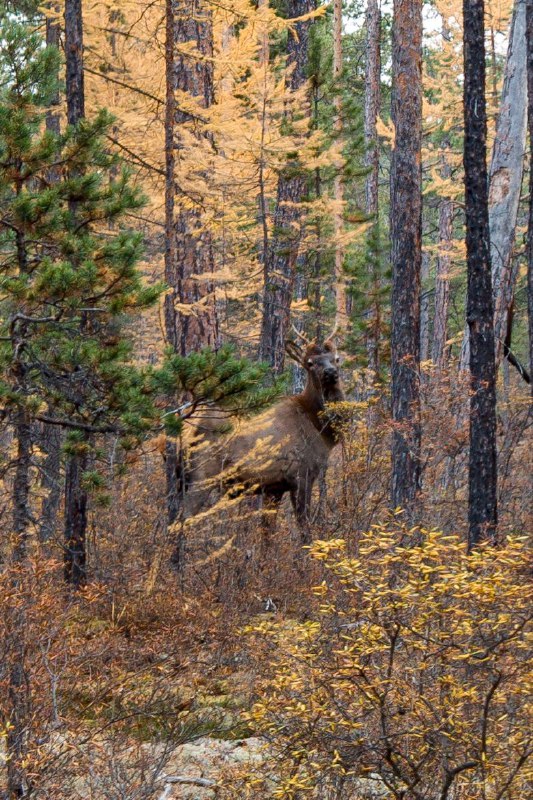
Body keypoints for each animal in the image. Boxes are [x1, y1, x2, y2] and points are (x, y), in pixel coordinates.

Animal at [181, 326, 342, 544]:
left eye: (336, 358)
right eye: (309, 363)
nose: (331, 372)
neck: (321, 431)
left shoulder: (273, 487)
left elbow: (267, 533)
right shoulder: (302, 474)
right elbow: (304, 527)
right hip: (202, 474)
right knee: (183, 518)